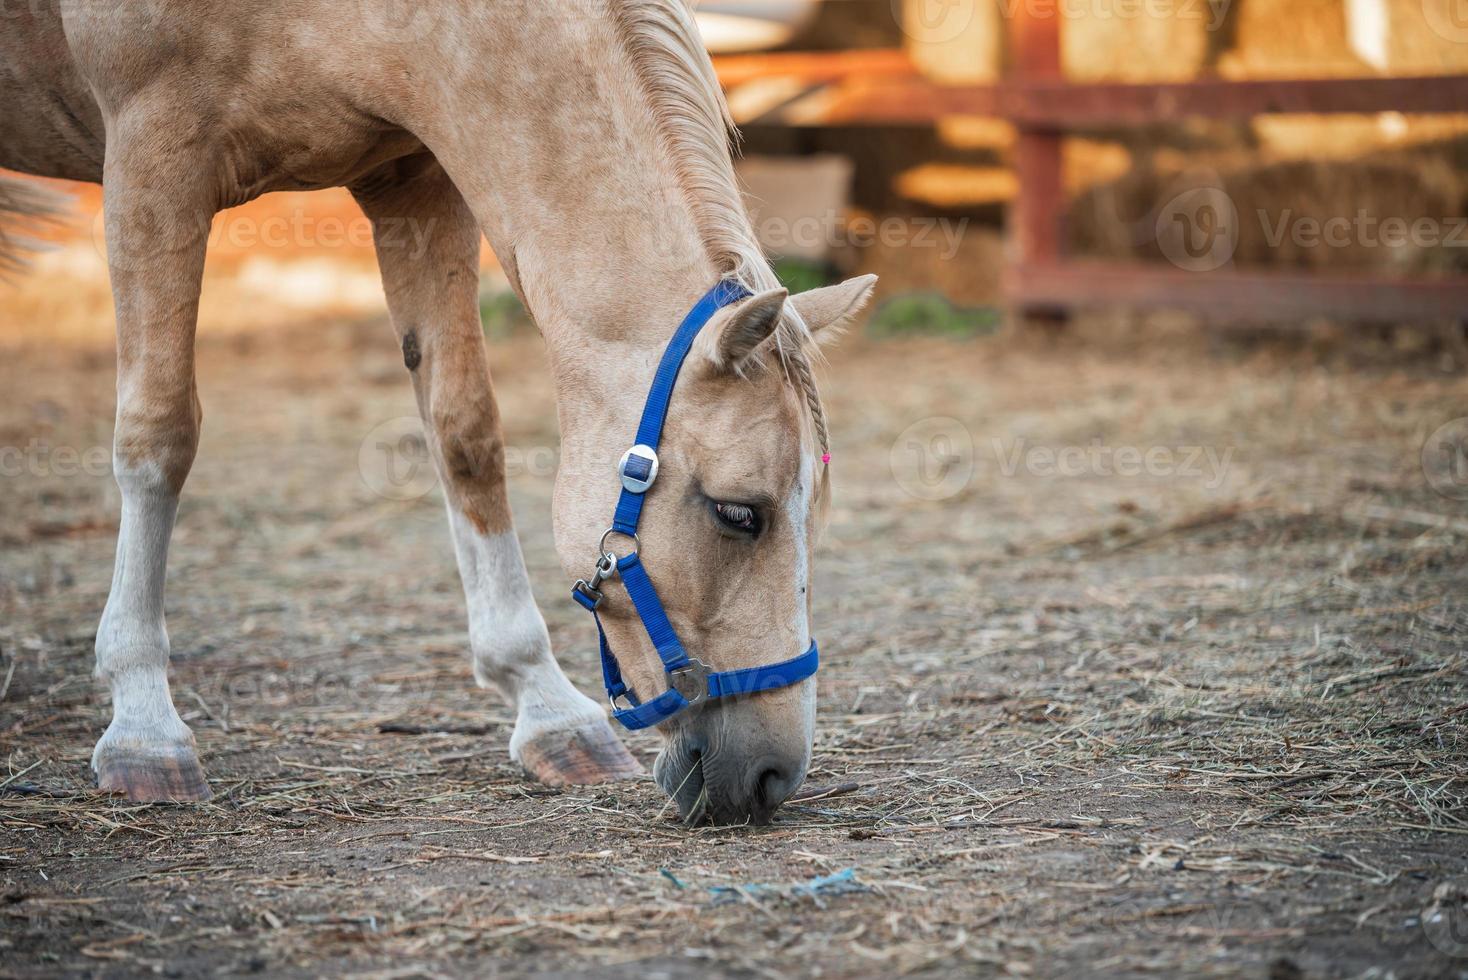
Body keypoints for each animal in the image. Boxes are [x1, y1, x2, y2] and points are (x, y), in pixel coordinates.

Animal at [0, 0, 869, 827]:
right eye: (738, 513)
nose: (773, 774)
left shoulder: (418, 176)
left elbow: (465, 432)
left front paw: (545, 706)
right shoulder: (153, 156)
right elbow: (159, 435)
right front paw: (144, 725)